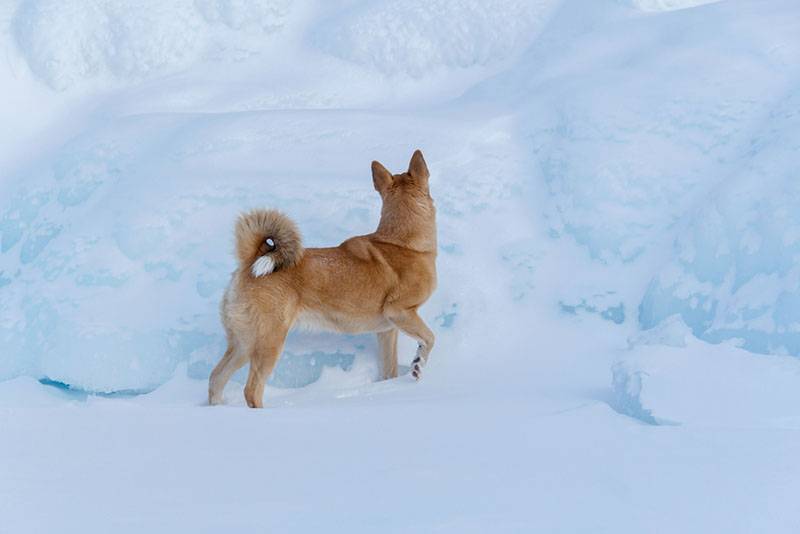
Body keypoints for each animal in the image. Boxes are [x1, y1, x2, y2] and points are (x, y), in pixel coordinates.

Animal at [209, 151, 438, 410]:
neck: (402, 241)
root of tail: (251, 260)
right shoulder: (399, 312)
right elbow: (430, 339)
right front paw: (418, 365)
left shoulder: (387, 331)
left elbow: (389, 370)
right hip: (268, 342)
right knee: (251, 390)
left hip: (243, 343)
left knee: (216, 377)